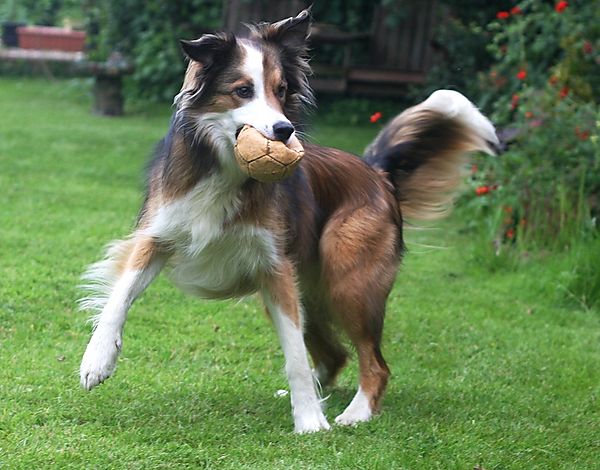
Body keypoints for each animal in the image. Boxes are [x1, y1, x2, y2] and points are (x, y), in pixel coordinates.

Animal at [81, 9, 502, 434]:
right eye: (242, 90)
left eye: (281, 90)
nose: (285, 130)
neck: (226, 168)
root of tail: (377, 171)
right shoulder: (157, 236)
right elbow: (120, 295)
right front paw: (97, 359)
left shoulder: (275, 266)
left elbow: (295, 355)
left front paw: (311, 421)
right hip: (312, 293)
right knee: (335, 355)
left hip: (349, 282)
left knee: (375, 364)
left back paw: (356, 412)